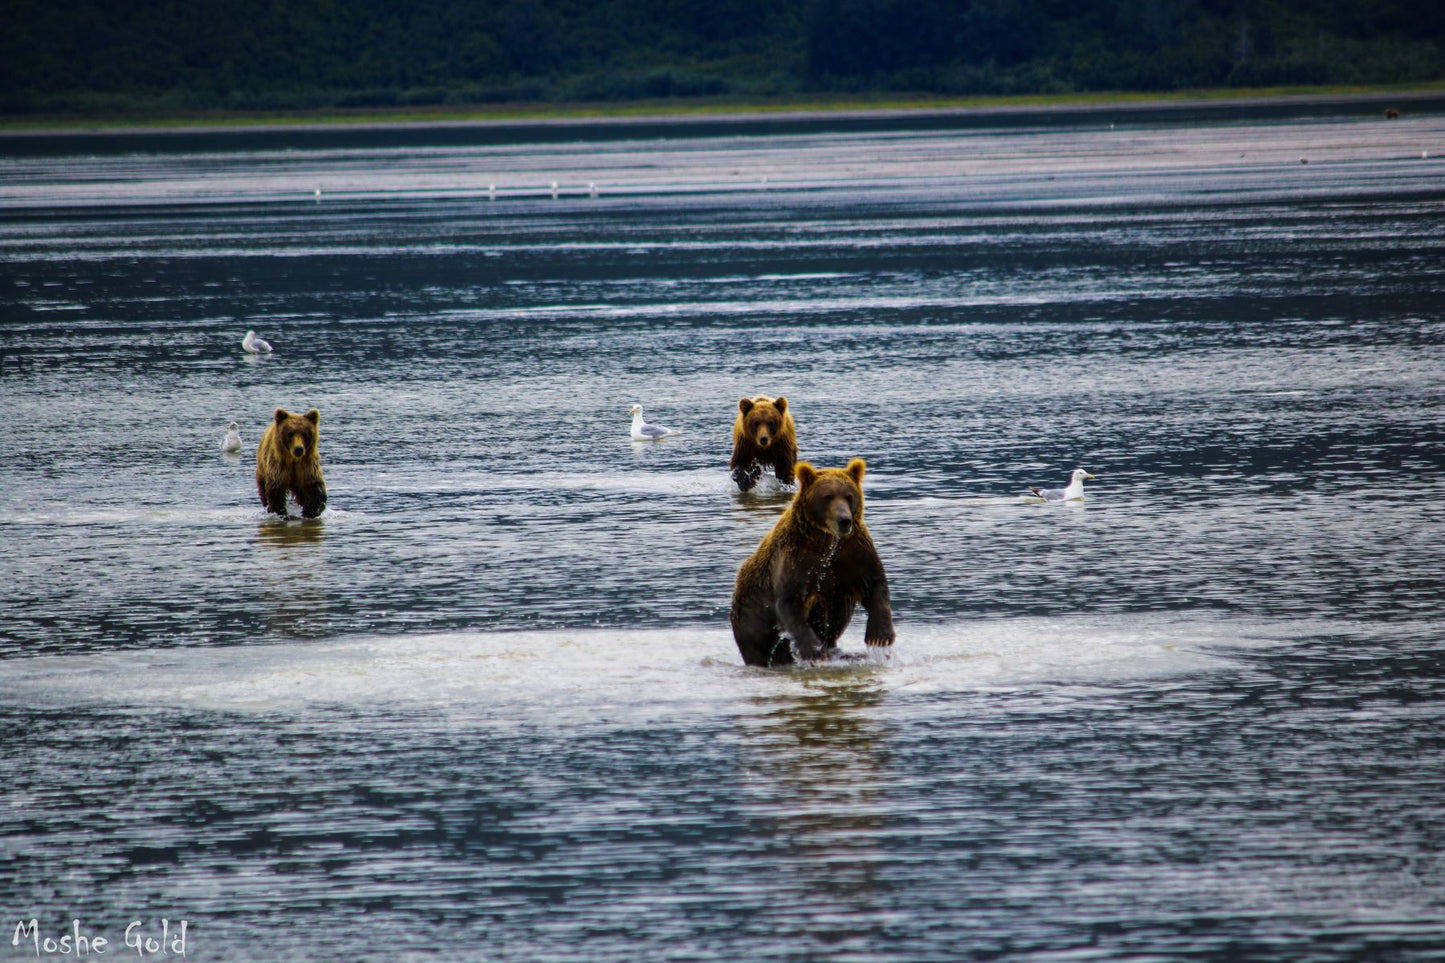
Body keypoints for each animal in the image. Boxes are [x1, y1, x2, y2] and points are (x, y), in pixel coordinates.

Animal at [734, 456, 890, 665]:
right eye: (827, 496)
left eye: (849, 495)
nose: (844, 520)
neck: (827, 540)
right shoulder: (796, 557)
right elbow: (790, 601)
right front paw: (813, 650)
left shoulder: (853, 551)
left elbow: (874, 583)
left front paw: (879, 637)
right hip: (752, 609)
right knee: (757, 644)